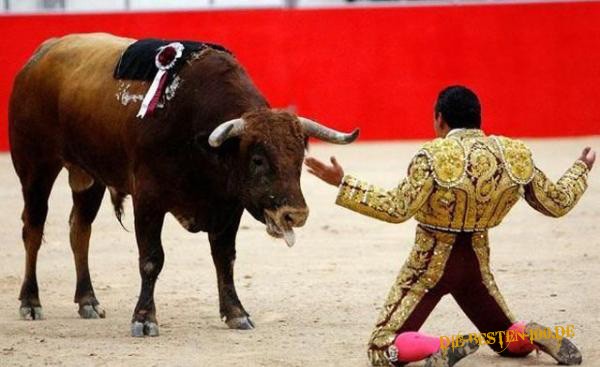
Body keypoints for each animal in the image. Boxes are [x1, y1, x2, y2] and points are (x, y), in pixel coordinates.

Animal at [9, 33, 356, 336]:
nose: (294, 214)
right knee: (33, 229)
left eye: (299, 158)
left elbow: (225, 257)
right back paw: (30, 302)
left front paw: (236, 313)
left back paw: (88, 301)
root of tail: (40, 55)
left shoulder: (228, 206)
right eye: (258, 159)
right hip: (36, 166)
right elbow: (152, 259)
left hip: (88, 175)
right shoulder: (148, 199)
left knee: (79, 230)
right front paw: (145, 319)